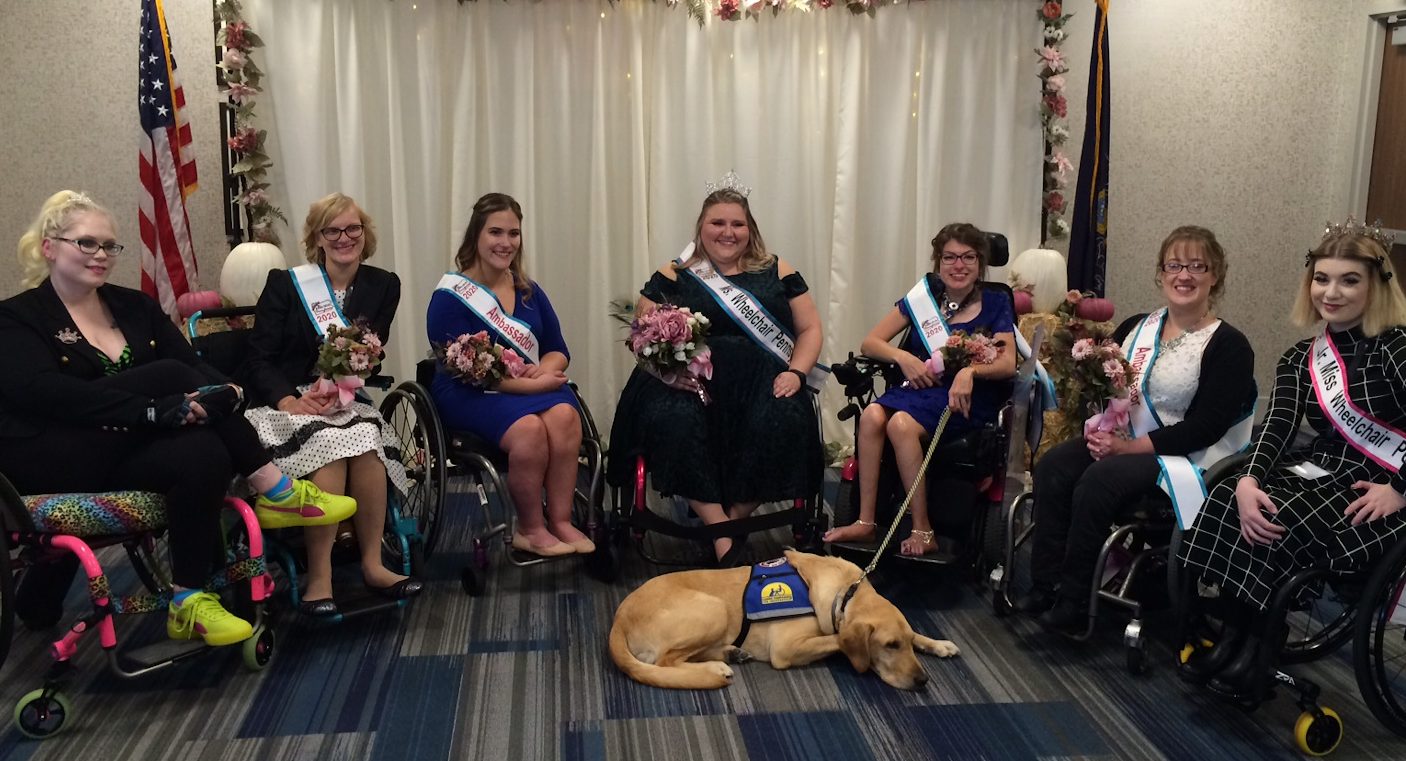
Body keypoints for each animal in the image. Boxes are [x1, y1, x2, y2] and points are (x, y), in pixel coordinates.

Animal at [610, 545, 961, 689]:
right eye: (889, 646)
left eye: (905, 644)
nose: (923, 680)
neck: (845, 592)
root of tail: (618, 620)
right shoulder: (786, 648)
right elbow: (836, 638)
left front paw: (937, 643)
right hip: (713, 609)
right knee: (665, 662)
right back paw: (716, 666)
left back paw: (731, 653)